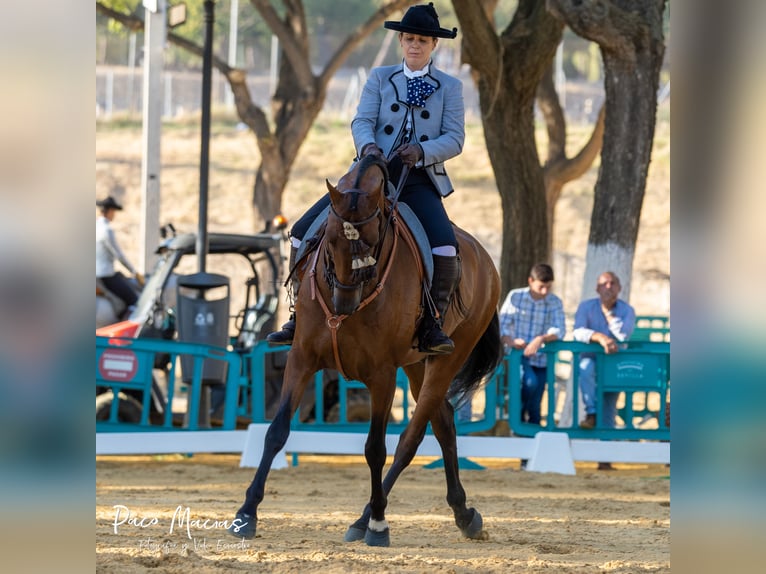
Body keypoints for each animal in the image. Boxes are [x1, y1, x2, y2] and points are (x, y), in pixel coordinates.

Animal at [228, 154, 504, 548]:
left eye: (375, 241)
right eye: (328, 240)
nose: (344, 301)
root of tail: (485, 257)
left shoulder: (382, 375)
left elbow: (375, 448)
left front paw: (378, 524)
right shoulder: (301, 359)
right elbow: (276, 431)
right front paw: (246, 513)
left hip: (448, 358)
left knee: (410, 439)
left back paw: (366, 518)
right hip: (417, 364)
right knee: (444, 422)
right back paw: (463, 513)